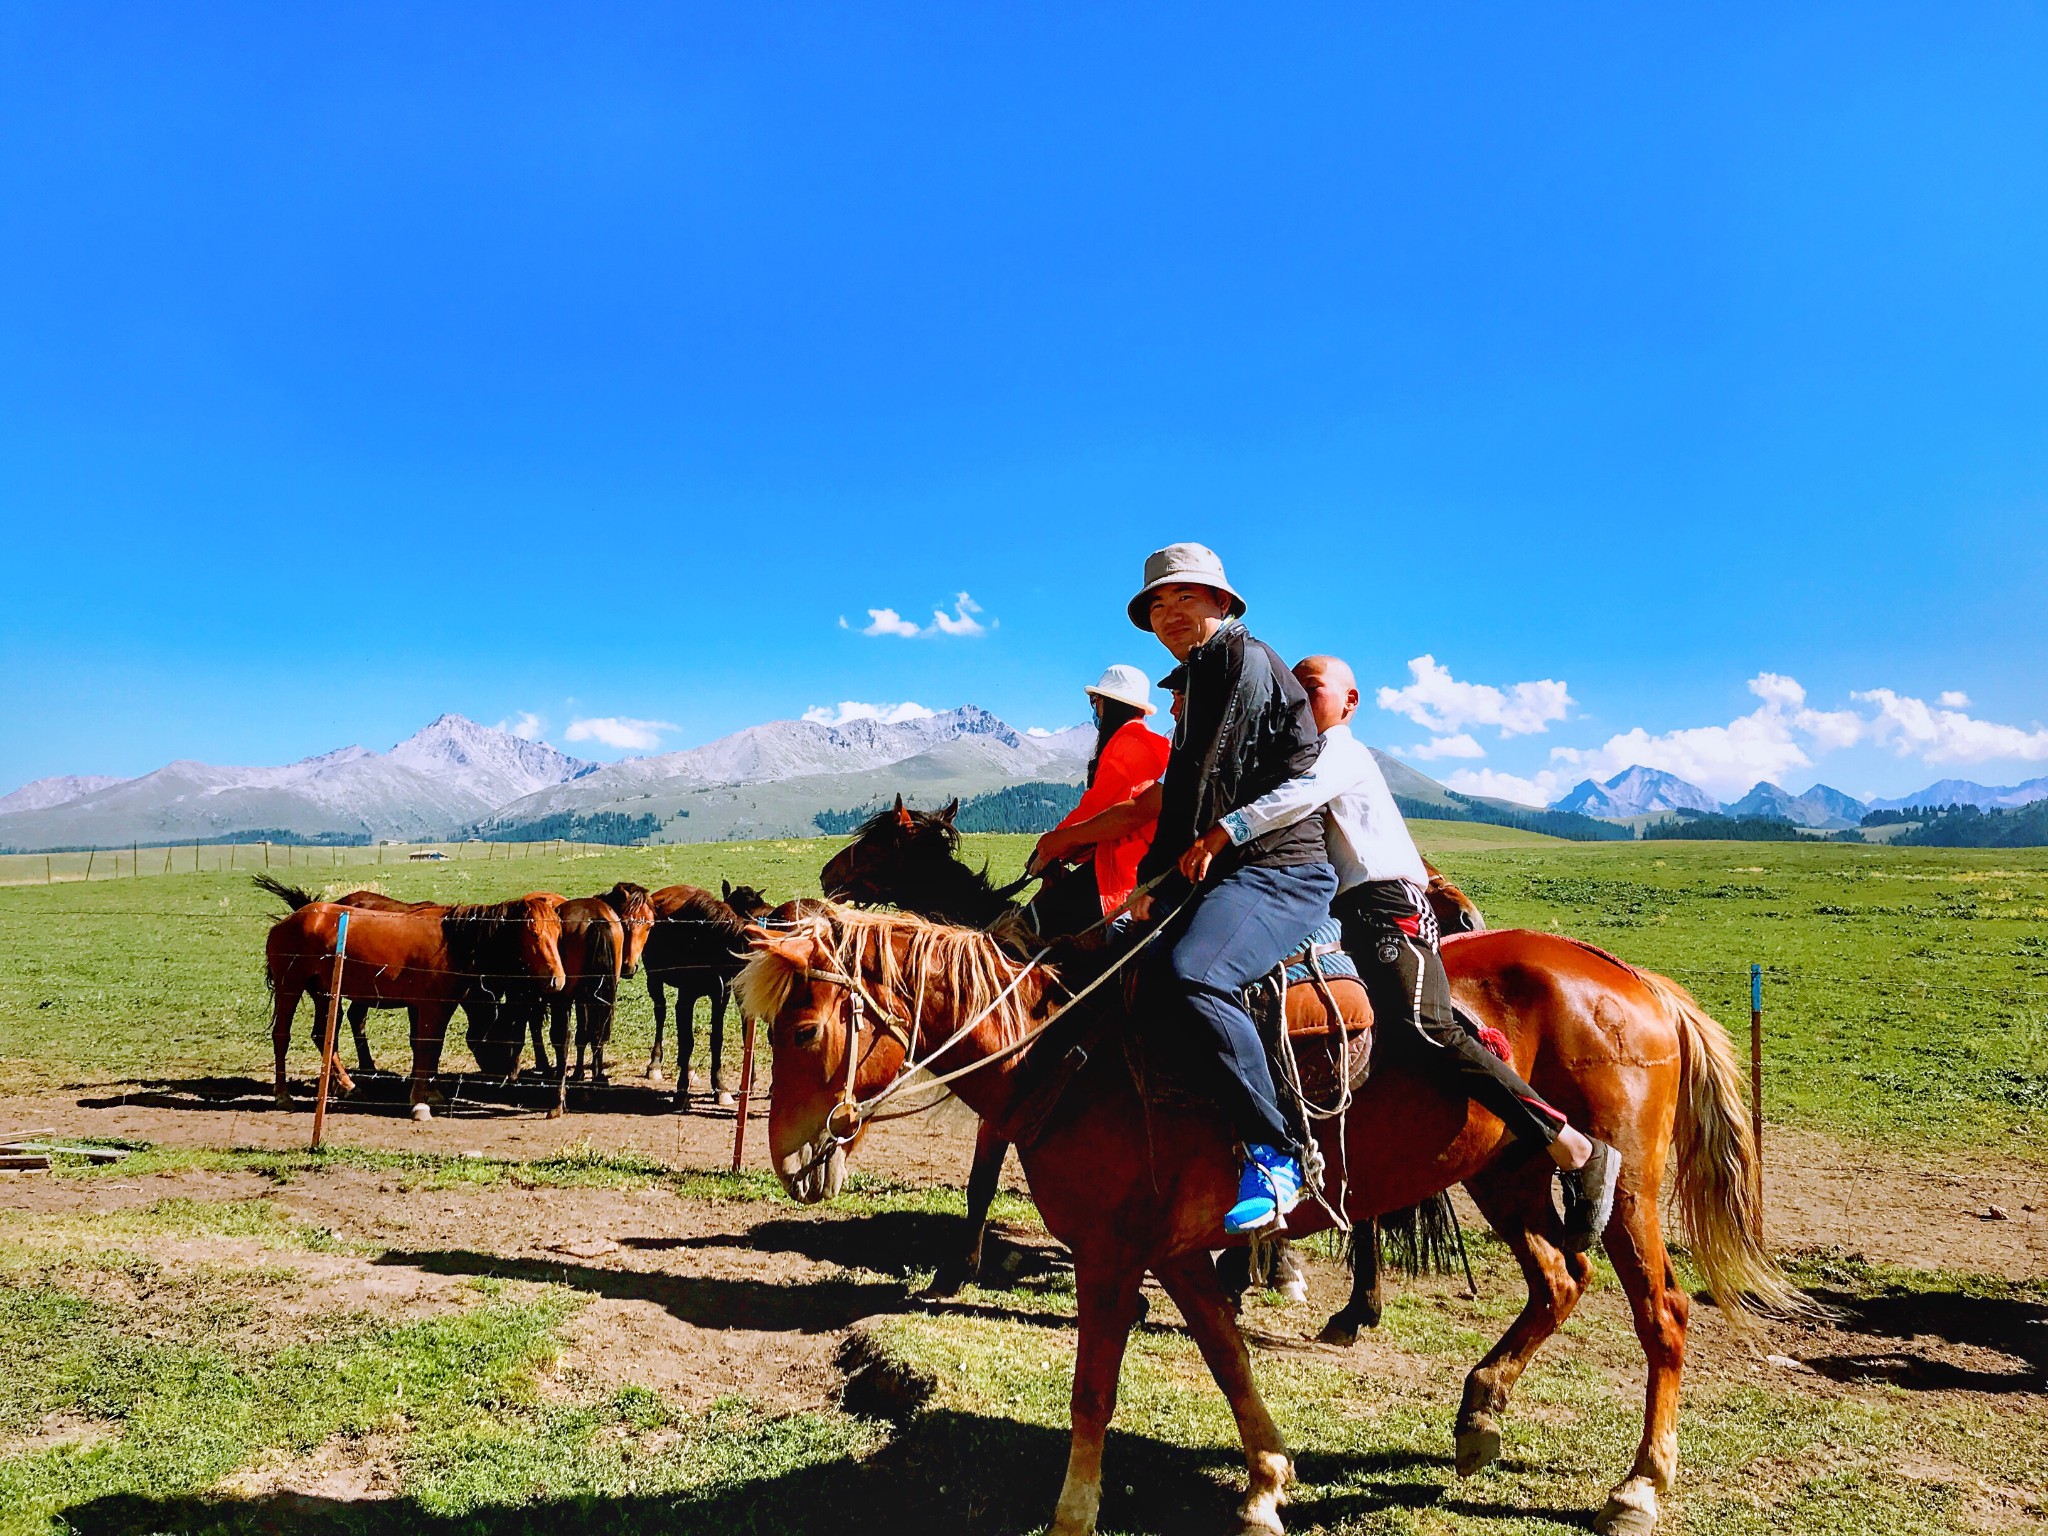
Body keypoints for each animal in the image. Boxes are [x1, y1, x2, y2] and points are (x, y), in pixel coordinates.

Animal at [268, 888, 569, 1122]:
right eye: (533, 933)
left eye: (558, 933)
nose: (558, 979)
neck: (454, 943)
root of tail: (289, 920)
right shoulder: (430, 1007)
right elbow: (424, 1047)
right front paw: (418, 1102)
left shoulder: (442, 1006)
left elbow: (433, 1047)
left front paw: (431, 1093)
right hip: (289, 988)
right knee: (281, 1036)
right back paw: (283, 1095)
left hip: (324, 992)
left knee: (323, 1036)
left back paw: (348, 1086)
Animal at [643, 876, 770, 1105]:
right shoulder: (686, 997)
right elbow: (687, 1041)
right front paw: (681, 1091)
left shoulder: (720, 996)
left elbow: (716, 1039)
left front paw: (720, 1088)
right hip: (653, 978)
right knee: (660, 1012)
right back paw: (655, 1064)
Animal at [749, 901, 1794, 1536]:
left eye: (803, 1029)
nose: (790, 1160)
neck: (1067, 1056)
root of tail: (1639, 983)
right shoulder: (1172, 1251)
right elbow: (1227, 1358)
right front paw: (1265, 1484)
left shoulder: (1110, 1254)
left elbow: (1094, 1391)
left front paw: (1073, 1514)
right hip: (1503, 1174)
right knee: (1558, 1281)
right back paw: (1479, 1414)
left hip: (1630, 1195)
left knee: (1661, 1315)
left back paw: (1638, 1487)